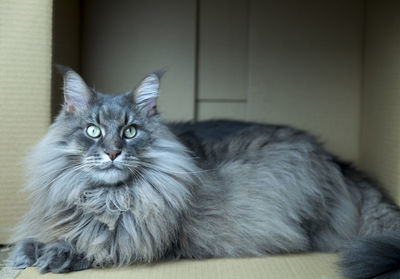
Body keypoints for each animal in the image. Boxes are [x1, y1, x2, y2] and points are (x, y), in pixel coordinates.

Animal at [7, 68, 400, 279]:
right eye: (92, 130)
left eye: (130, 131)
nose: (113, 152)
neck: (107, 199)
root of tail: (339, 162)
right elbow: (44, 234)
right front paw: (24, 253)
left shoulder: (142, 239)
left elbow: (98, 245)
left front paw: (57, 254)